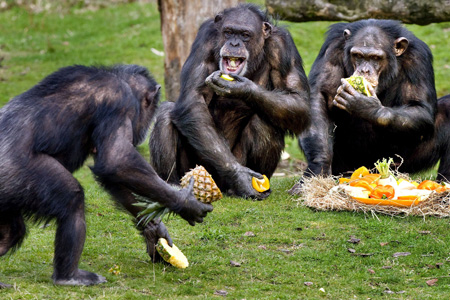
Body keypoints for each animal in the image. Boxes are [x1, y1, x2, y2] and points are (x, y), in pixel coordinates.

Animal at [0, 64, 214, 288]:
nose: (143, 131)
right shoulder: (120, 103)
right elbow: (116, 160)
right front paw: (186, 202)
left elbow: (115, 177)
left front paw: (155, 231)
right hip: (22, 173)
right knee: (72, 198)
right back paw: (69, 276)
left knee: (12, 232)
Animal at [149, 4, 312, 199]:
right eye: (228, 32)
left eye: (245, 35)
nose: (234, 44)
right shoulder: (205, 38)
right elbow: (193, 98)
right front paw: (239, 175)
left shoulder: (283, 45)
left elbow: (298, 100)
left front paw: (244, 89)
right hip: (195, 168)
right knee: (166, 112)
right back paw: (172, 185)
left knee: (264, 122)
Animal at [290, 19, 450, 195]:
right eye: (358, 56)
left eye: (375, 58)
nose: (364, 70)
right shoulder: (333, 47)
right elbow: (320, 95)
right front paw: (318, 170)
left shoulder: (418, 58)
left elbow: (419, 107)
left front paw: (367, 107)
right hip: (346, 168)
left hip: (399, 166)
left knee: (447, 108)